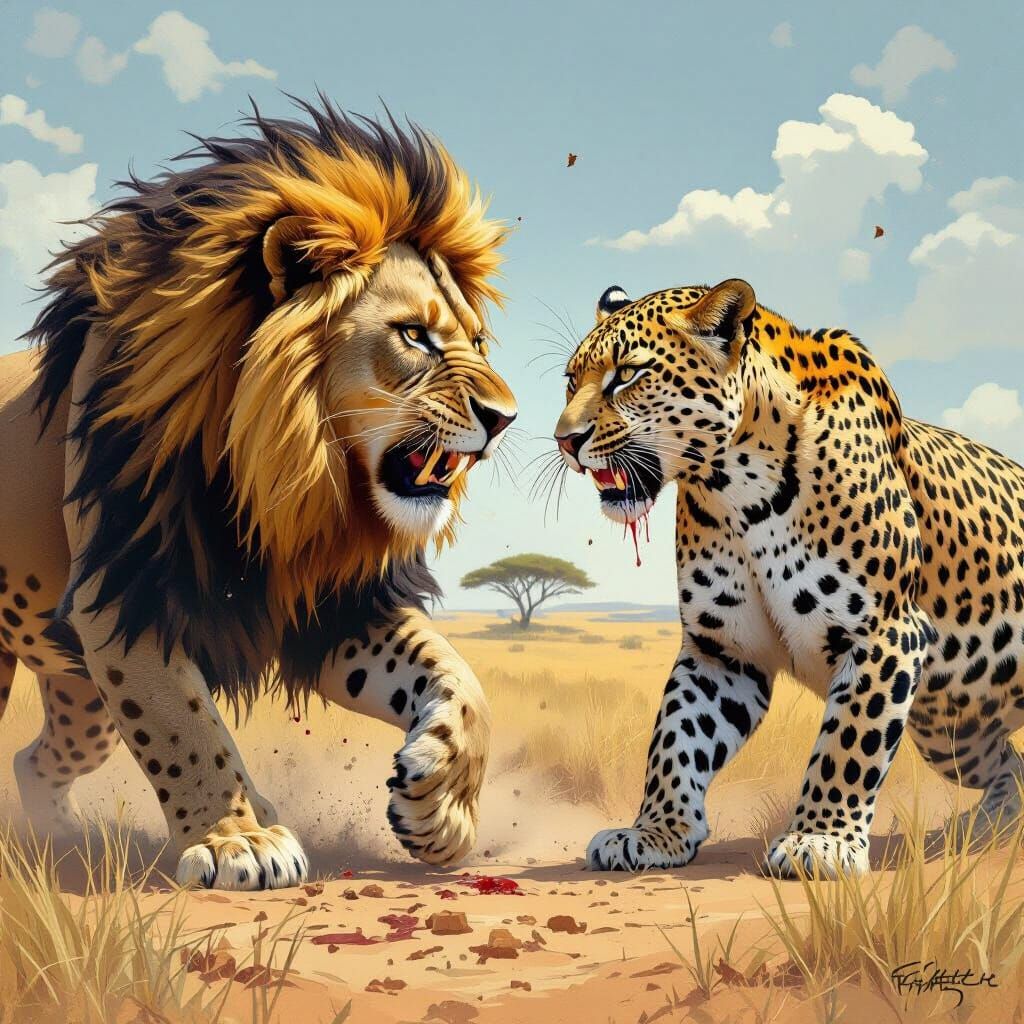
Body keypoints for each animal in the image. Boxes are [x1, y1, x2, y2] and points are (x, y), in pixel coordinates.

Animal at [0, 99, 517, 889]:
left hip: (79, 694)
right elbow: (183, 724)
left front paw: (439, 806)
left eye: (478, 342)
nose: (505, 416)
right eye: (414, 337)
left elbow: (461, 681)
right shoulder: (123, 593)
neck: (281, 483)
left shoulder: (331, 606)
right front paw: (235, 841)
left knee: (37, 760)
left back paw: (60, 834)